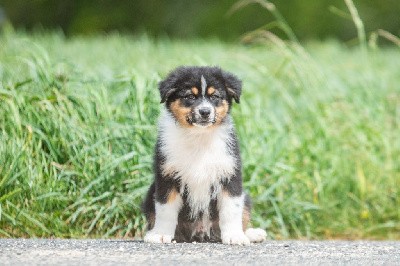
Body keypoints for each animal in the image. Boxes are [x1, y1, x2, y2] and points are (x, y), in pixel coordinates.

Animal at [142, 65, 268, 244]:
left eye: (215, 96)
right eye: (190, 96)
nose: (205, 112)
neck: (199, 136)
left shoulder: (230, 174)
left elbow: (232, 210)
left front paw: (235, 236)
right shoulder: (166, 176)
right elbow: (165, 209)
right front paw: (160, 234)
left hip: (246, 198)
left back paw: (252, 234)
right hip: (149, 195)